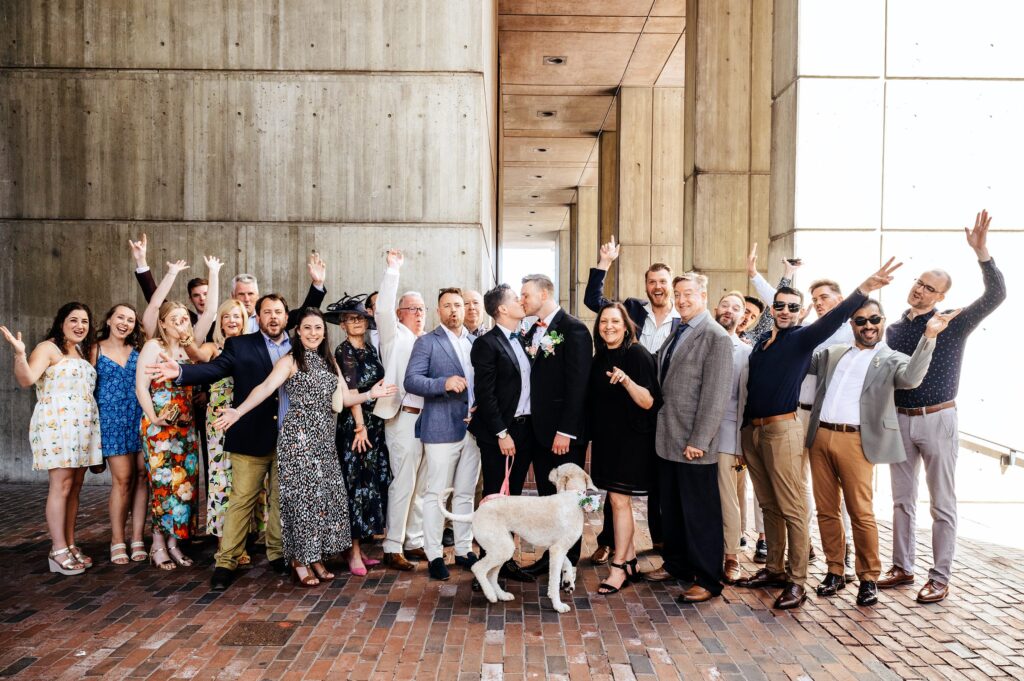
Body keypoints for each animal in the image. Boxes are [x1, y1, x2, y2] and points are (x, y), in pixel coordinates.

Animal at [436, 462, 598, 610]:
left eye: (557, 471)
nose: (550, 470)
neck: (573, 497)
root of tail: (475, 513)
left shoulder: (556, 548)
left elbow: (568, 563)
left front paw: (568, 582)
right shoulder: (557, 549)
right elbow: (554, 579)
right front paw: (558, 605)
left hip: (502, 549)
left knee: (491, 575)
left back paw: (501, 595)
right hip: (502, 549)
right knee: (478, 568)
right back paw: (490, 595)